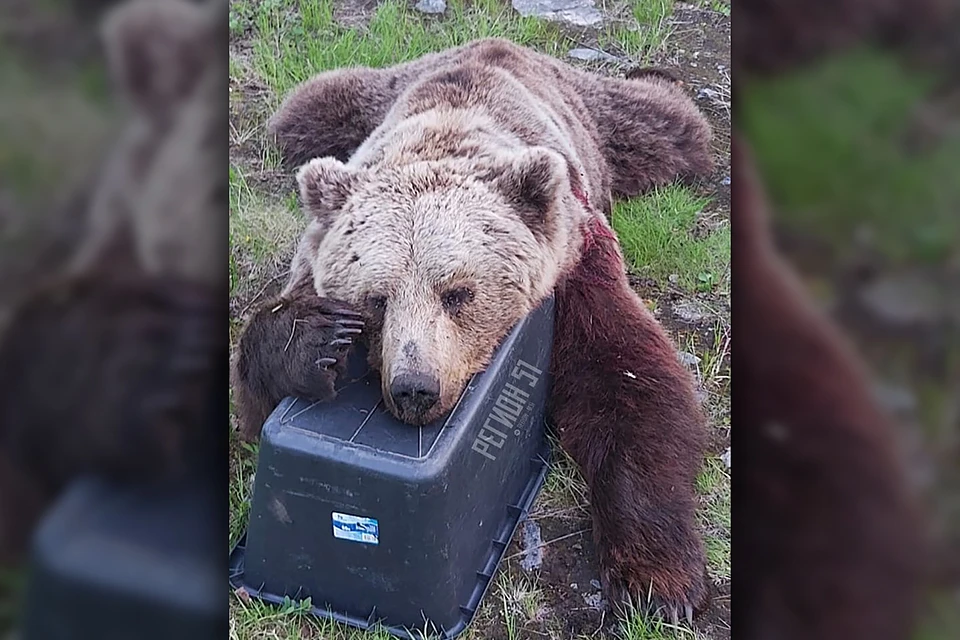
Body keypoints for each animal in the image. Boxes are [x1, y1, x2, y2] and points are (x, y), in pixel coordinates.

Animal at [231, 38, 712, 620]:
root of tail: (497, 42)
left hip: (599, 115)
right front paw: (314, 342)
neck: (446, 139)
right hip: (369, 95)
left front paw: (657, 581)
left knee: (668, 127)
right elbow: (257, 396)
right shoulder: (314, 258)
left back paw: (660, 79)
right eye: (376, 300)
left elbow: (629, 379)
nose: (414, 388)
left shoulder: (576, 262)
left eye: (458, 293)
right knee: (307, 109)